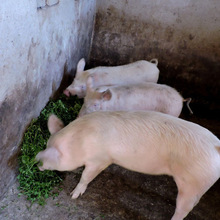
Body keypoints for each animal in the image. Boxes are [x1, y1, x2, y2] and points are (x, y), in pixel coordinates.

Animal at [35, 111, 220, 220]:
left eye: (50, 159)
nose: (38, 166)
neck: (79, 142)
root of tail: (216, 145)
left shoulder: (100, 159)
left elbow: (86, 176)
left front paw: (73, 195)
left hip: (195, 184)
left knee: (184, 208)